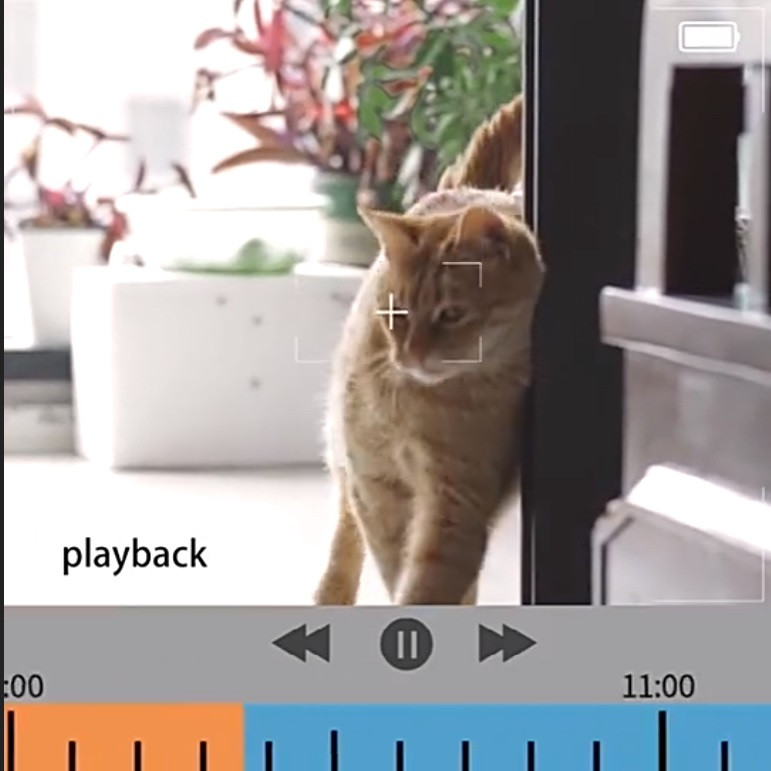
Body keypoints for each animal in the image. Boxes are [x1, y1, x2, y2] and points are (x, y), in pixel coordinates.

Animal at [314, 95, 544, 605]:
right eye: (397, 312)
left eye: (451, 314)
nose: (410, 355)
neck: (422, 406)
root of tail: (477, 188)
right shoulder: (377, 486)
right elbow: (394, 567)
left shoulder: (458, 505)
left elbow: (432, 583)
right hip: (346, 465)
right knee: (344, 543)